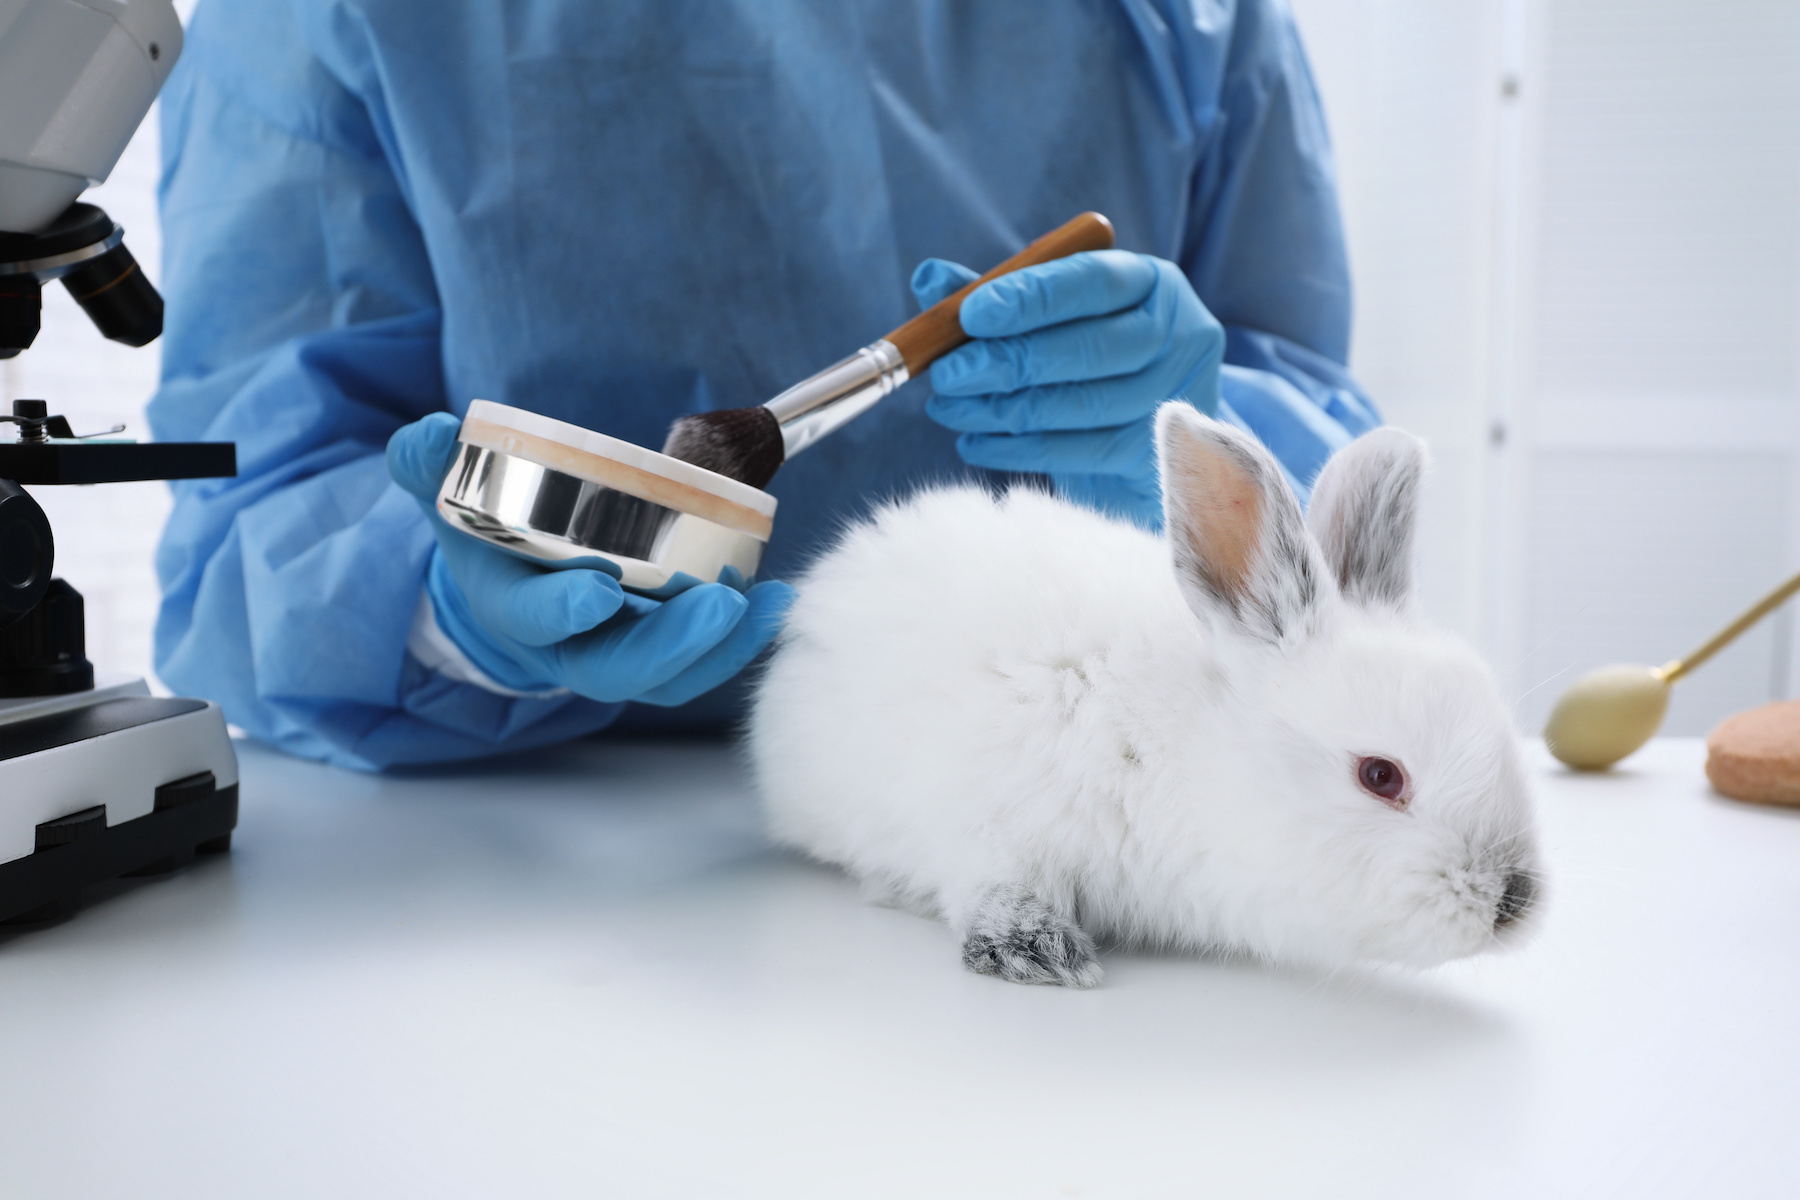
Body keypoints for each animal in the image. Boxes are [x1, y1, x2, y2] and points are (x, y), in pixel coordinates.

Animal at [745, 402, 1533, 985]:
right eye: (1380, 776)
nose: (1516, 903)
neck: (1186, 752)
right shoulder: (987, 821)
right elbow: (993, 884)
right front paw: (1037, 950)